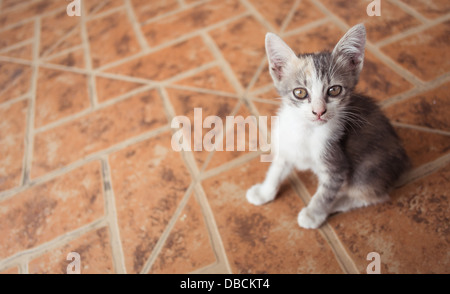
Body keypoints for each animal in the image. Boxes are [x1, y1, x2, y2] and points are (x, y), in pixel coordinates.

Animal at [246, 23, 412, 230]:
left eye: (334, 90)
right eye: (300, 92)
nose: (319, 111)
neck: (306, 131)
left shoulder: (336, 164)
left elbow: (325, 194)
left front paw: (313, 214)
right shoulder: (286, 144)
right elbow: (276, 169)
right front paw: (264, 192)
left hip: (368, 169)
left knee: (373, 195)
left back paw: (336, 204)